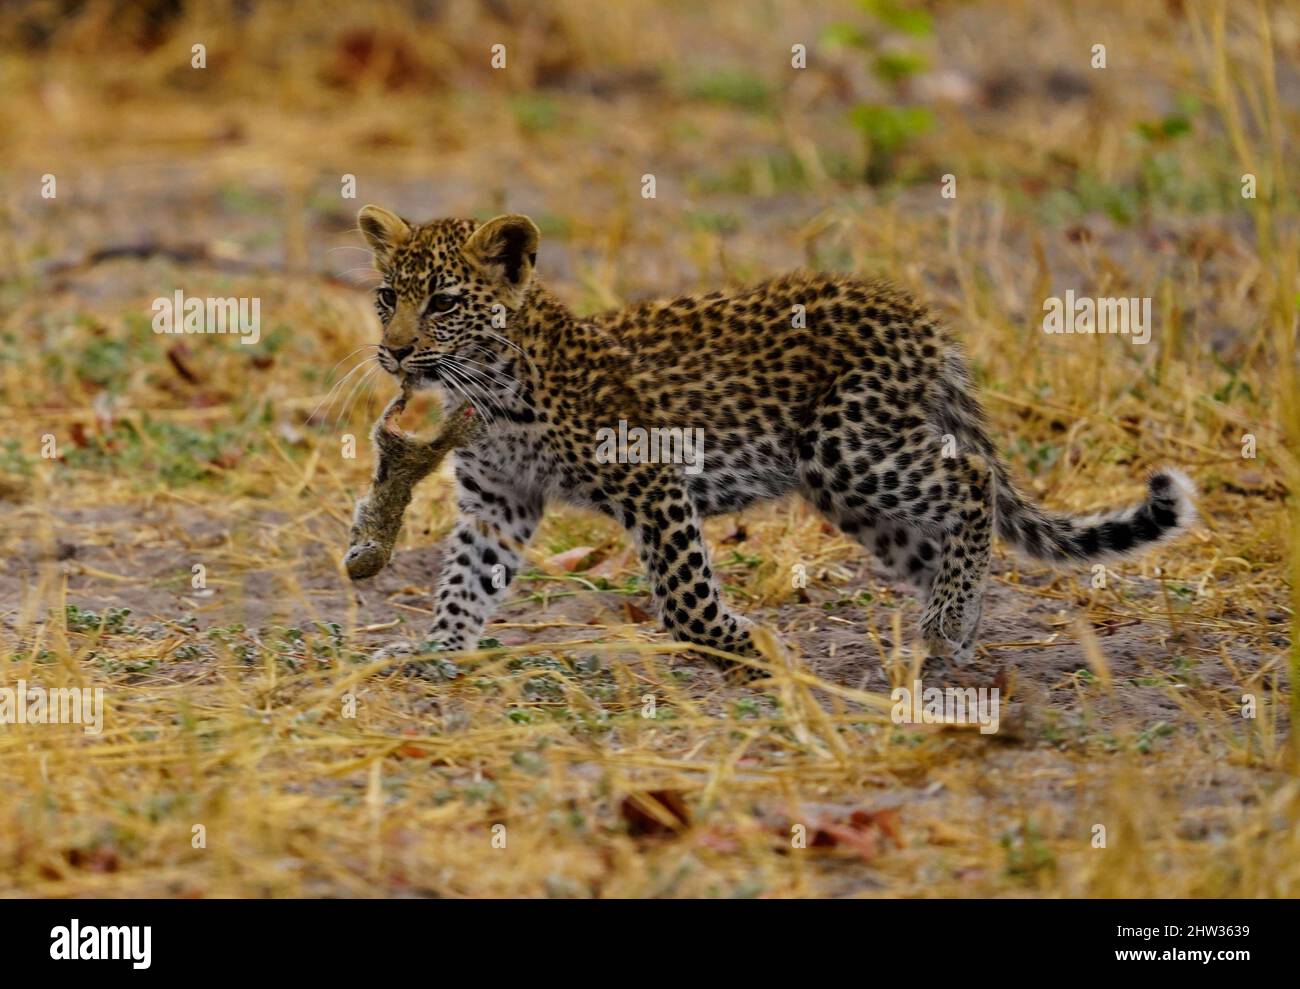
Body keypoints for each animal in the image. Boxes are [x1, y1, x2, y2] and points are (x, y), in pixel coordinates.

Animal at [355, 204, 1197, 679]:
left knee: (973, 481)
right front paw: (435, 649)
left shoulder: (650, 475)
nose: (394, 351)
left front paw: (743, 644)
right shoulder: (499, 497)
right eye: (388, 296)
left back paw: (946, 620)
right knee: (934, 539)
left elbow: (682, 591)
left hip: (852, 449)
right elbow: (466, 578)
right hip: (852, 489)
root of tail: (918, 320)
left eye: (444, 302)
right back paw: (947, 634)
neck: (489, 390)